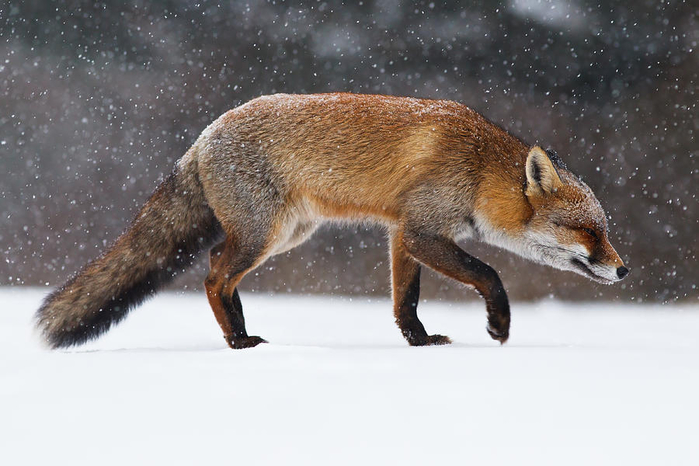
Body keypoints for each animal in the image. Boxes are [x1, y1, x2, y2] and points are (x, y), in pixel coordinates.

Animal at [37, 93, 628, 350]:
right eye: (588, 232)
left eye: (605, 230)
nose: (623, 270)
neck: (479, 169)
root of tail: (203, 135)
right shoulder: (422, 231)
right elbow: (491, 274)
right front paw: (499, 327)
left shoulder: (402, 234)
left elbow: (405, 301)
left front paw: (418, 343)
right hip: (264, 235)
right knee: (212, 275)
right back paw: (238, 342)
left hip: (287, 236)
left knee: (214, 265)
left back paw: (242, 331)